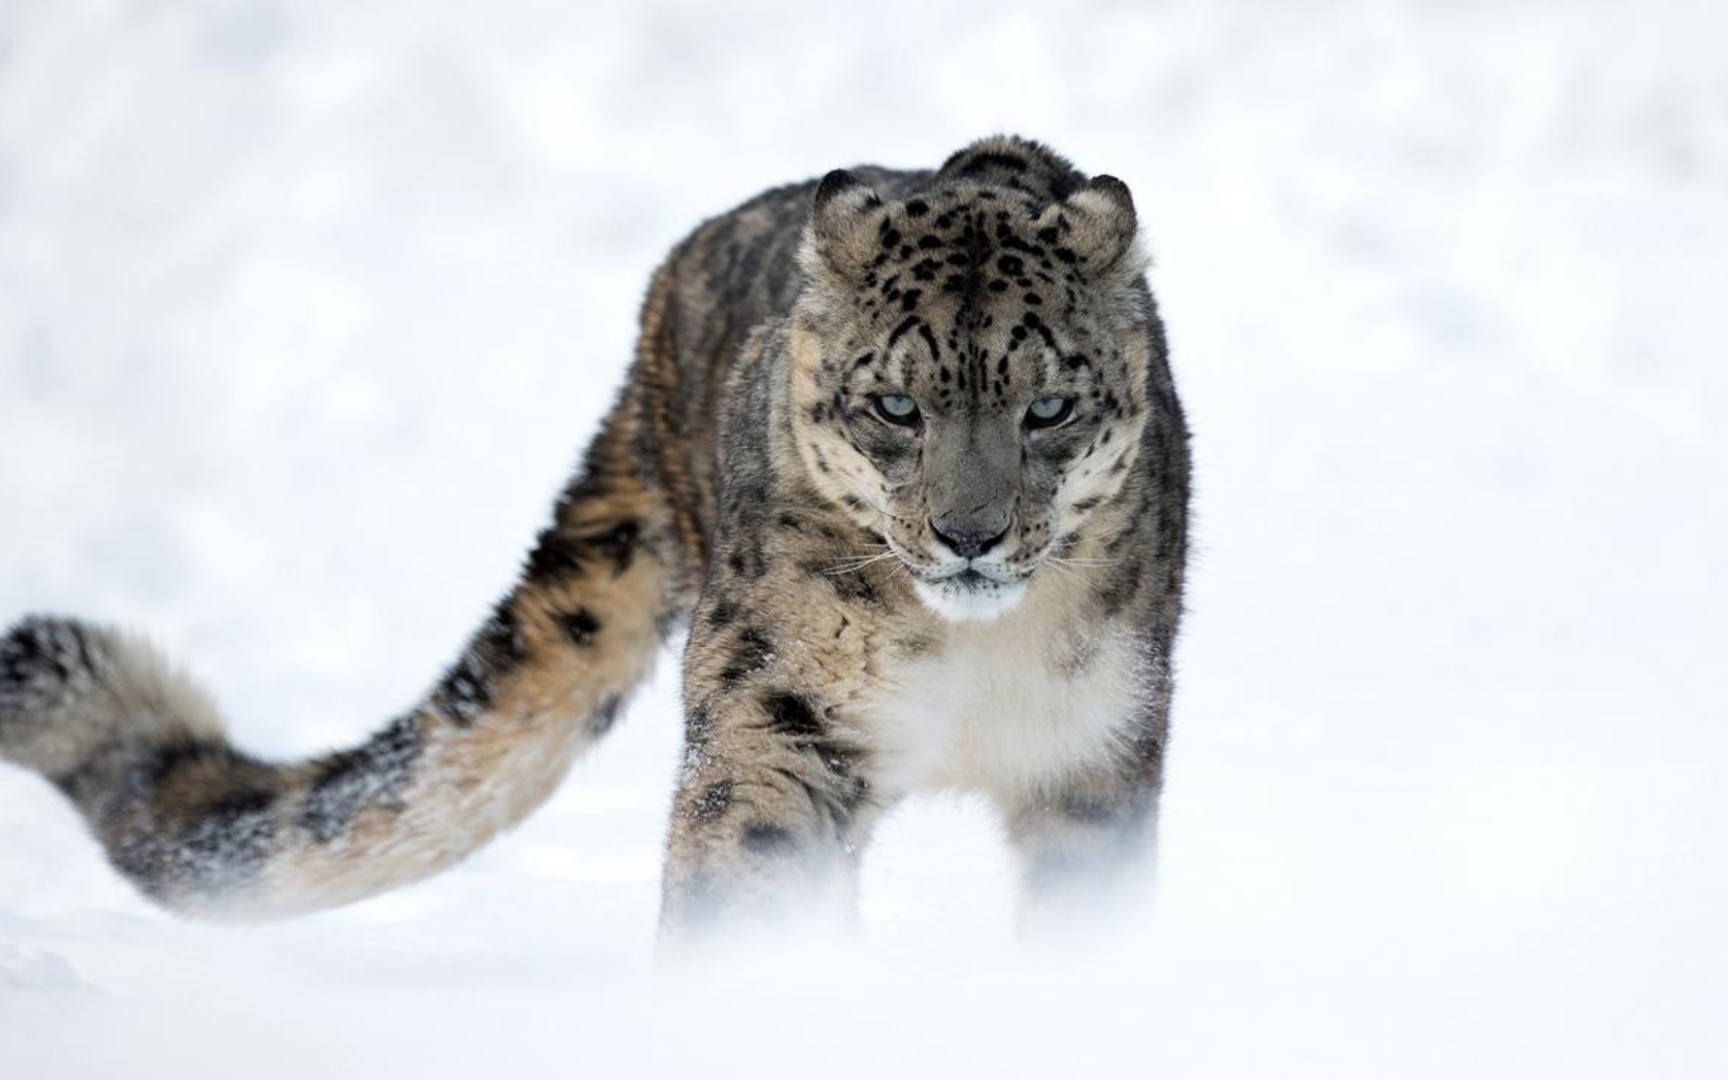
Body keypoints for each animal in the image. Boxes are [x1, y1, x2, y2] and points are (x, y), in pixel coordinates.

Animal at [0, 134, 1188, 940]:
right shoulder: (776, 711)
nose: (968, 535)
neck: (972, 661)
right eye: (895, 407)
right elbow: (747, 867)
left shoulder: (1095, 754)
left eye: (1048, 408)